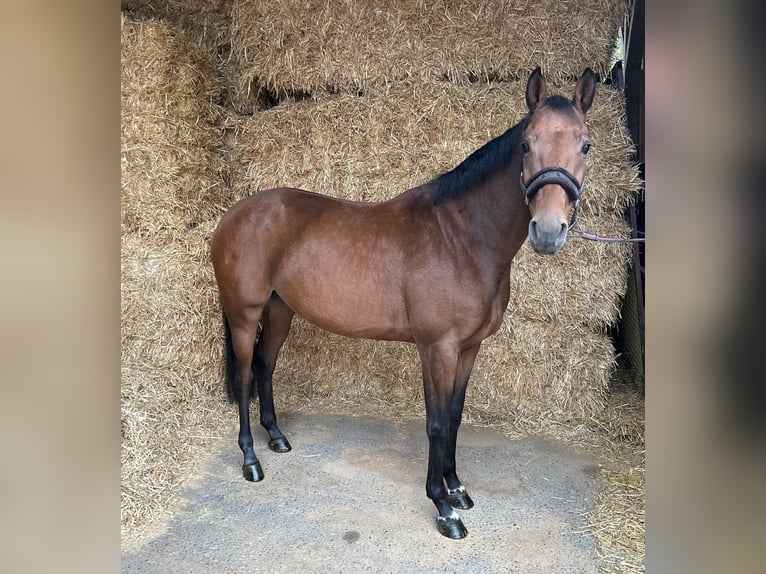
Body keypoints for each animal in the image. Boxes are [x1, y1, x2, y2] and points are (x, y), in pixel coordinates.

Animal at [212, 67, 600, 540]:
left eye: (585, 144)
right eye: (527, 143)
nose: (547, 231)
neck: (461, 239)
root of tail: (232, 216)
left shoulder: (468, 348)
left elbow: (454, 416)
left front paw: (457, 488)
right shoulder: (437, 348)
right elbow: (436, 423)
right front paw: (443, 507)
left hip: (280, 309)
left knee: (266, 366)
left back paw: (277, 438)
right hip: (244, 316)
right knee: (245, 376)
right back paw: (251, 460)